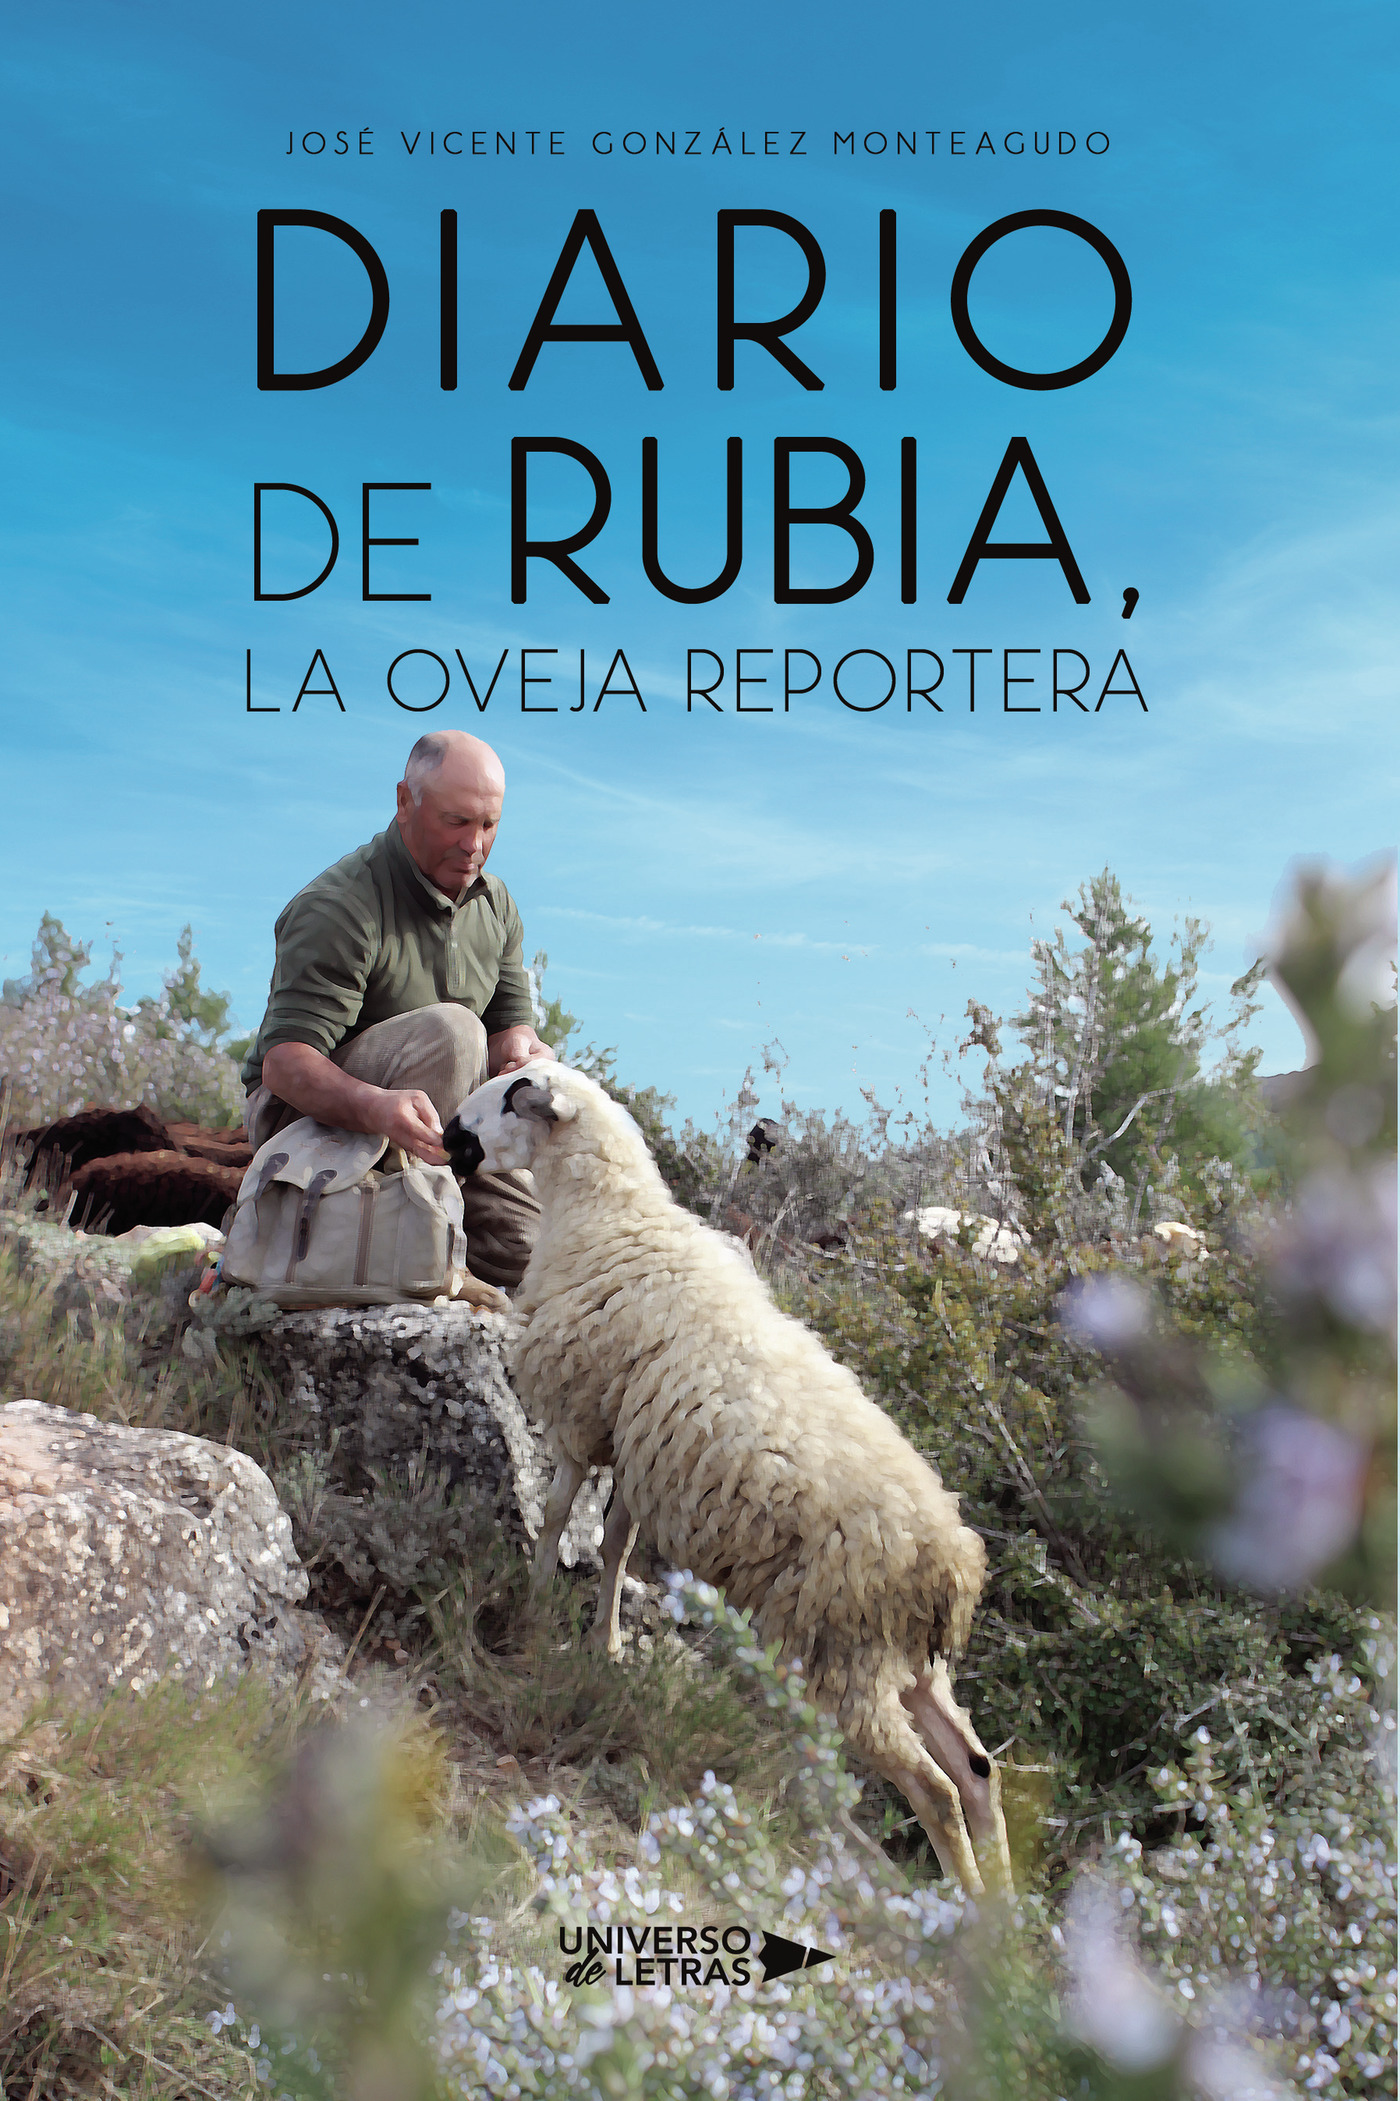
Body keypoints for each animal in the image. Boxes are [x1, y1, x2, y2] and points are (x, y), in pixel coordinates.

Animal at [445, 1063, 1013, 1896]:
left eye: (506, 1095)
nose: (447, 1133)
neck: (613, 1217)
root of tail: (955, 1572)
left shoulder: (583, 1418)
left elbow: (554, 1516)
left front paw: (538, 1603)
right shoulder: (637, 1451)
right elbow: (614, 1544)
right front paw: (605, 1643)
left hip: (839, 1650)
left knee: (931, 1788)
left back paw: (940, 1899)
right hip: (901, 1661)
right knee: (975, 1771)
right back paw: (1000, 1903)